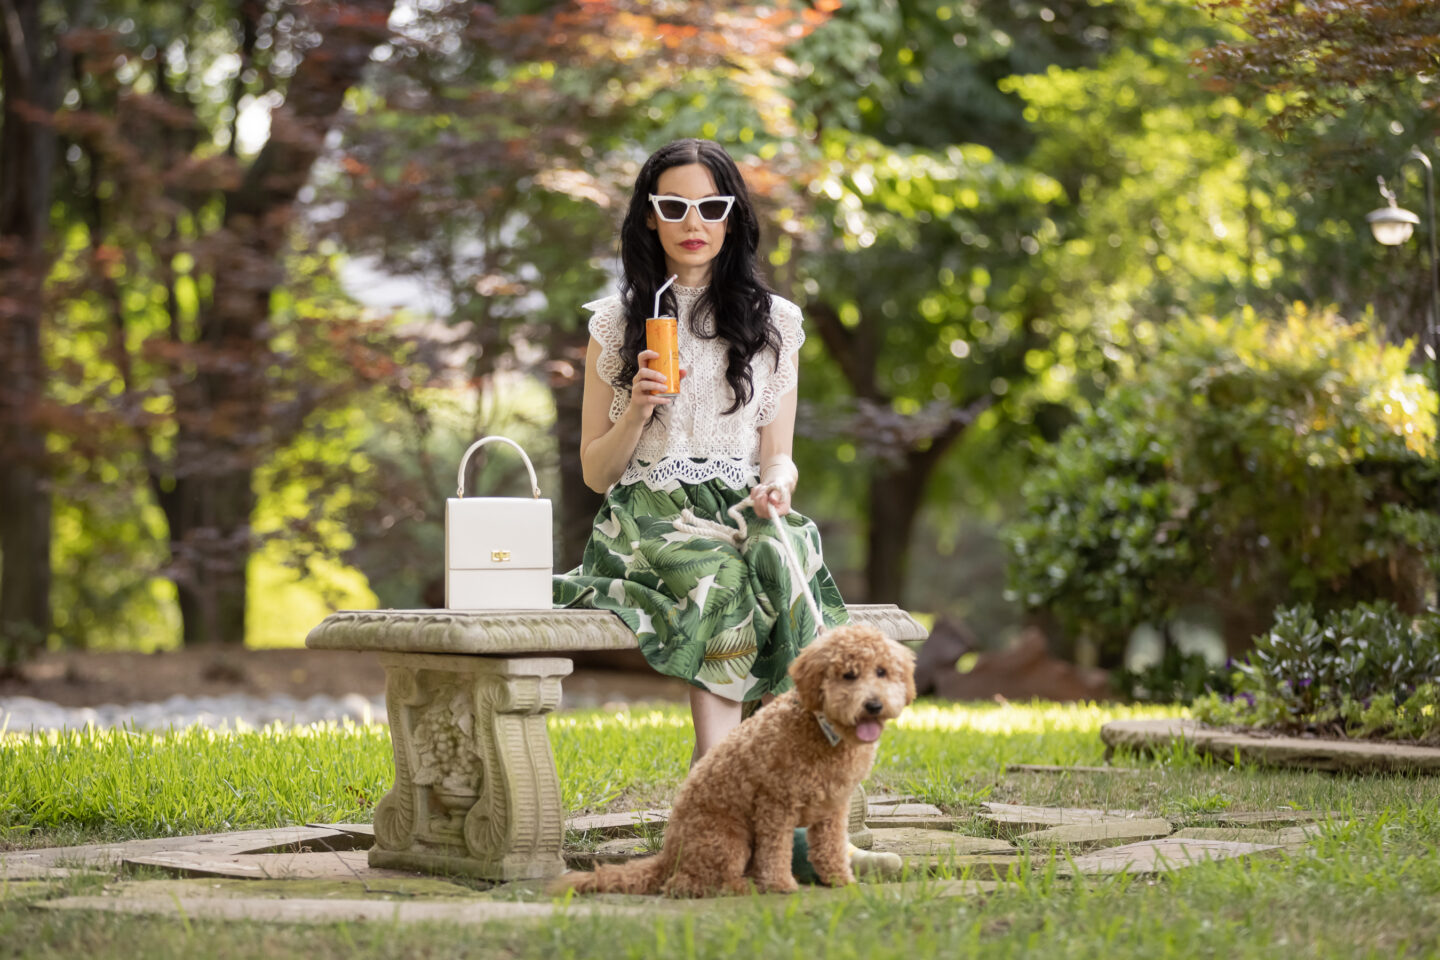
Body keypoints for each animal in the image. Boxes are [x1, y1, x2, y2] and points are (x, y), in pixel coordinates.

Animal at [547, 627, 910, 898]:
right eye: (848, 675)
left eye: (882, 672)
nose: (874, 705)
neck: (821, 727)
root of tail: (669, 855)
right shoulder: (775, 805)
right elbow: (776, 851)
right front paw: (781, 885)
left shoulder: (832, 809)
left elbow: (830, 848)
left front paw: (839, 879)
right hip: (728, 840)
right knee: (688, 885)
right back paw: (743, 886)